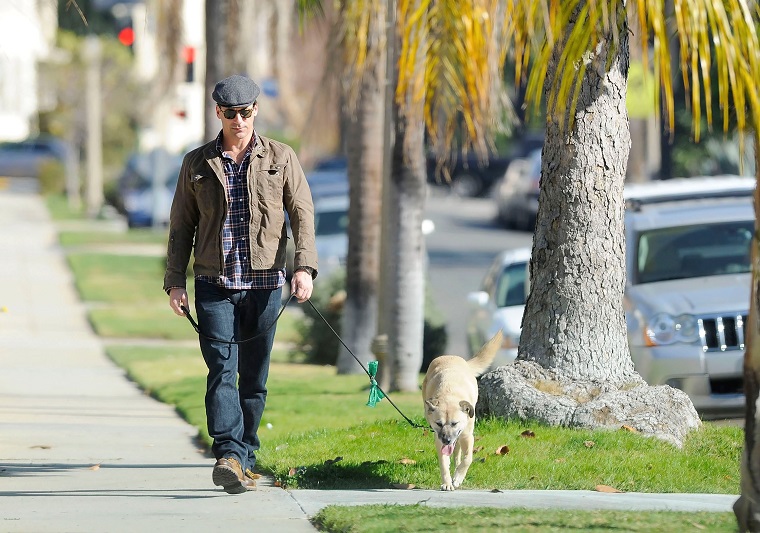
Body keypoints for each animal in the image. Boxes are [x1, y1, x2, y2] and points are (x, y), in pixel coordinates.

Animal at [424, 332, 502, 490]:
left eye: (454, 423)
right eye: (439, 423)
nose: (447, 440)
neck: (449, 393)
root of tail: (451, 356)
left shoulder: (467, 435)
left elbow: (468, 458)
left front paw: (458, 478)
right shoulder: (438, 438)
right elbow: (443, 463)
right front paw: (447, 482)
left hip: (461, 436)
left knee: (458, 452)